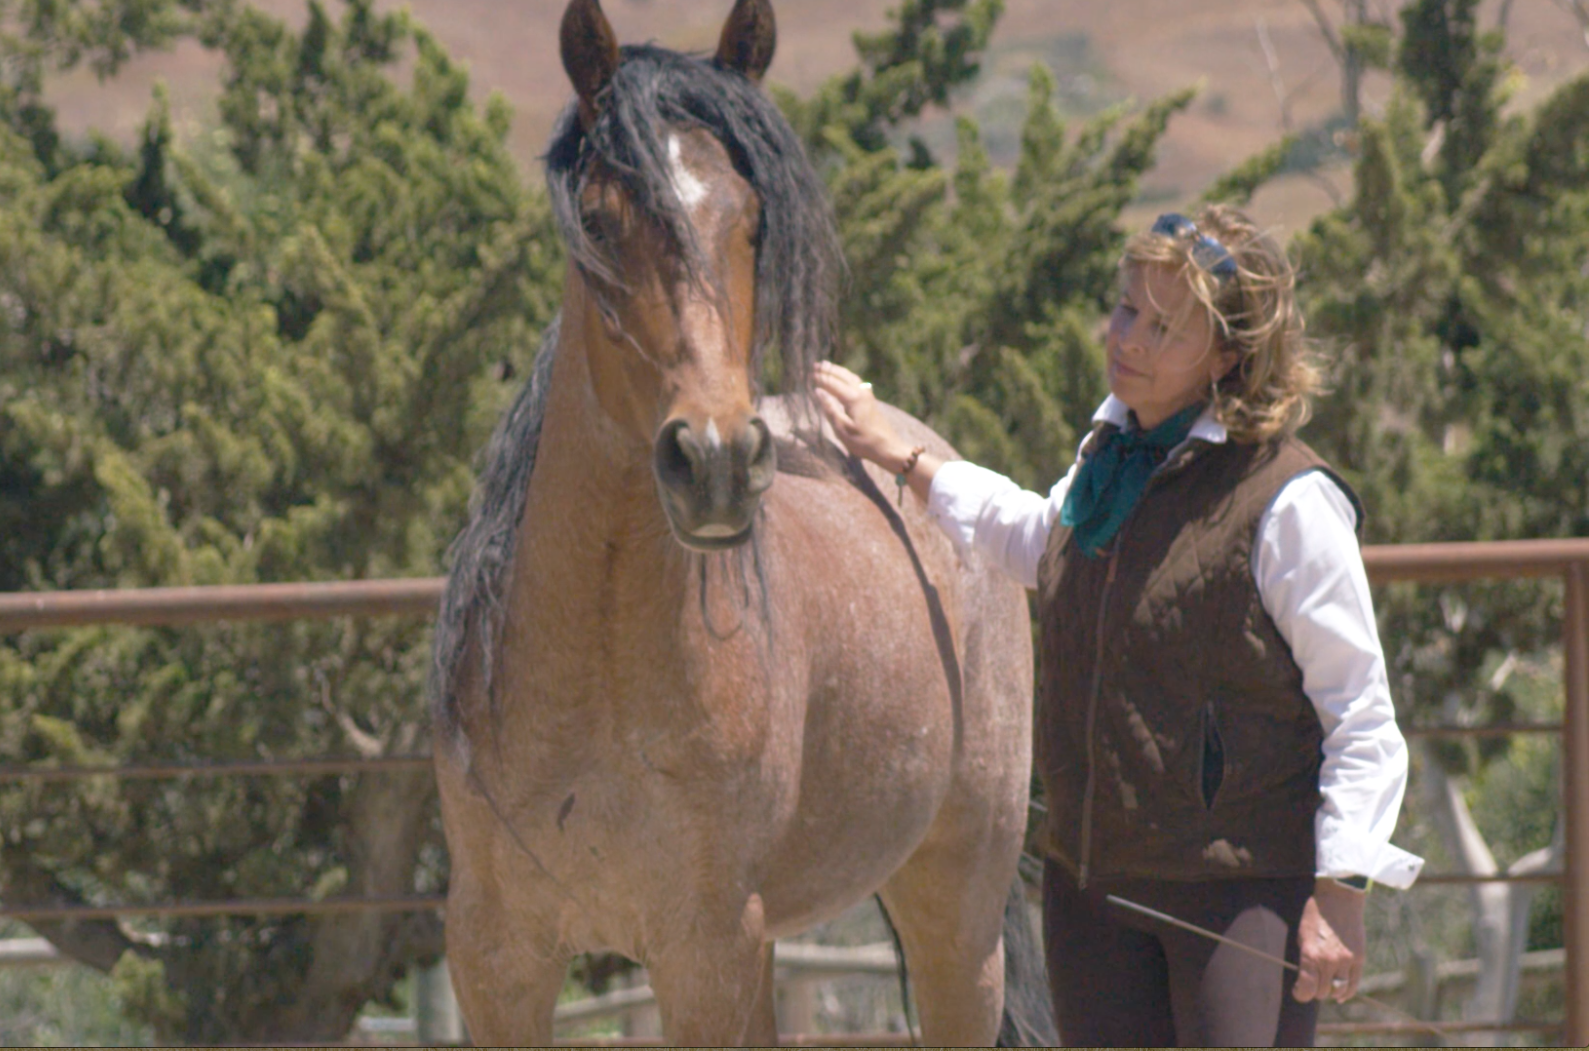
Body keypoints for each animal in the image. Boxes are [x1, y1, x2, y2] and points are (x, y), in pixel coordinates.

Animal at [429, 1, 1054, 1044]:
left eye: (754, 221)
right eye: (597, 220)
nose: (716, 461)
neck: (592, 686)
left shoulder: (704, 953)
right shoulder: (498, 961)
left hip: (956, 923)